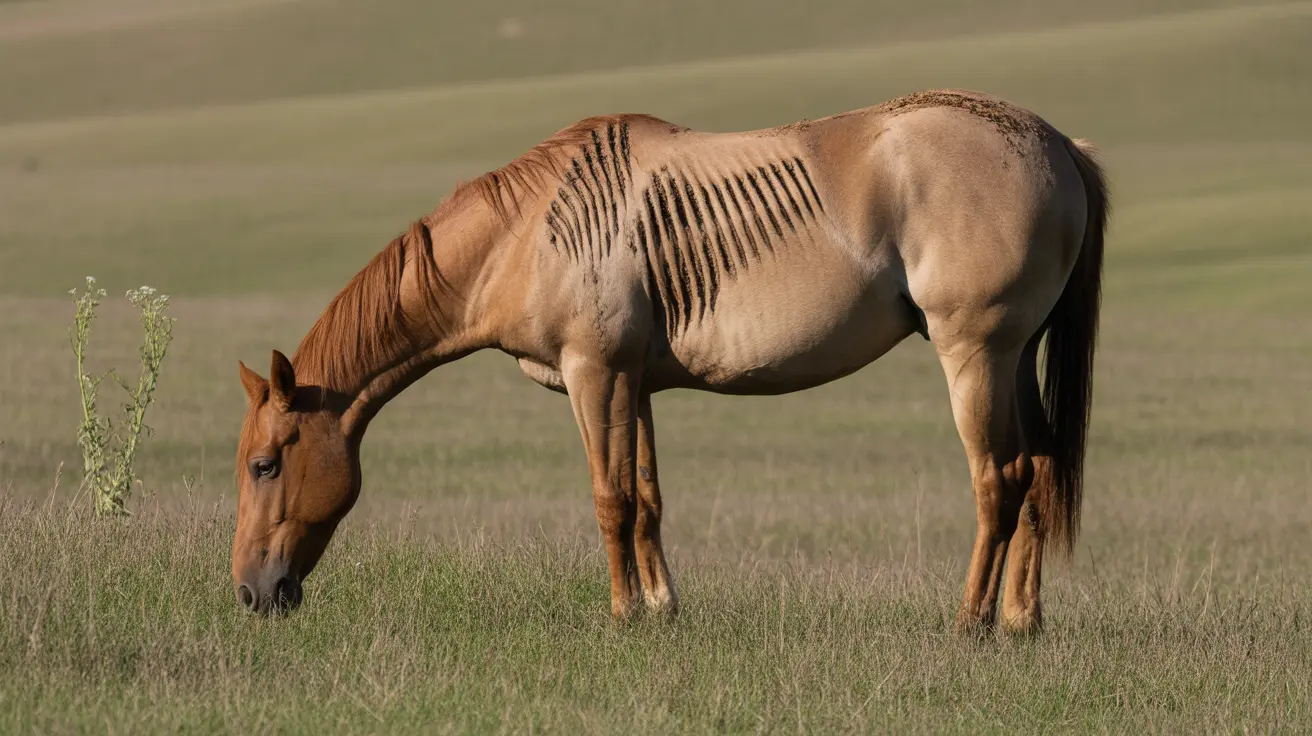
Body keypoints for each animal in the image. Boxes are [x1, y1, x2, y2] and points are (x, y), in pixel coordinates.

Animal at [231, 89, 1107, 635]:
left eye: (266, 465)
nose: (249, 592)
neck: (526, 232)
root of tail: (1057, 144)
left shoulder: (593, 375)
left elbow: (608, 498)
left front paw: (622, 615)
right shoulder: (634, 381)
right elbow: (647, 498)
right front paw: (661, 609)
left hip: (975, 355)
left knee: (998, 483)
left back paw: (971, 623)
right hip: (1015, 357)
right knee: (1038, 472)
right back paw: (1023, 621)